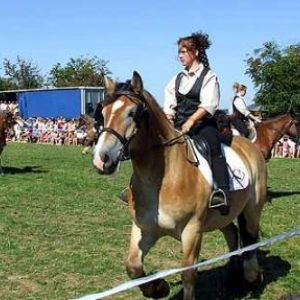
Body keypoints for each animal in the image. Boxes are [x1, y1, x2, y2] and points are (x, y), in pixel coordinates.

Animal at [92, 71, 266, 298]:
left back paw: (251, 276)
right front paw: (158, 288)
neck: (161, 180)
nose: (101, 159)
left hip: (252, 209)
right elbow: (133, 267)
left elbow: (189, 275)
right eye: (103, 113)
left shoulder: (192, 230)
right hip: (222, 215)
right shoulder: (143, 229)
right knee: (232, 234)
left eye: (132, 113)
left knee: (251, 238)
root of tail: (249, 145)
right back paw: (233, 275)